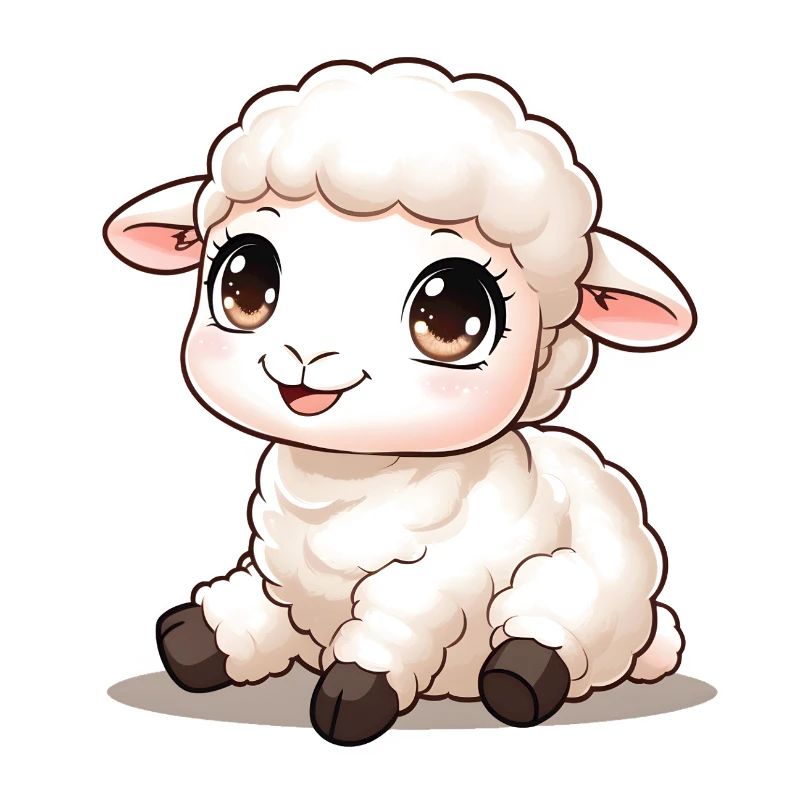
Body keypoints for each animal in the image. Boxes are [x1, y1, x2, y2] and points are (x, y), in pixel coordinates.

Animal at [103, 59, 696, 745]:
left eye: (453, 314)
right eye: (243, 280)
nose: (306, 356)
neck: (345, 484)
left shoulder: (432, 581)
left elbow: (390, 629)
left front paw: (351, 699)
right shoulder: (279, 577)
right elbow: (254, 608)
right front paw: (195, 638)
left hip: (578, 581)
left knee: (547, 623)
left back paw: (520, 679)